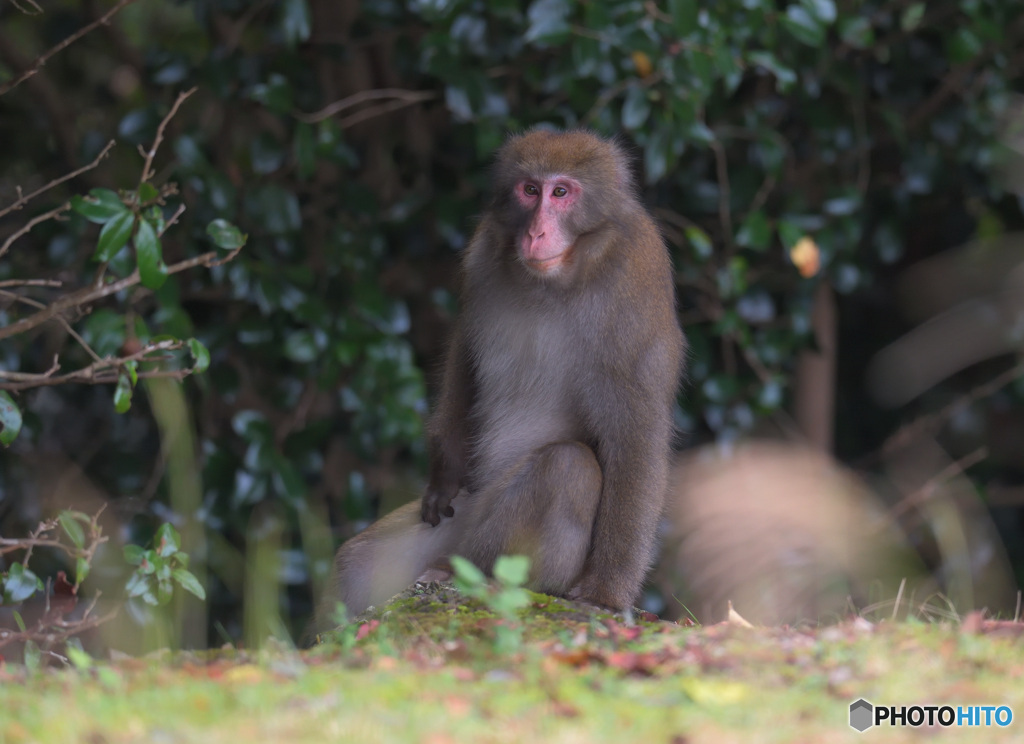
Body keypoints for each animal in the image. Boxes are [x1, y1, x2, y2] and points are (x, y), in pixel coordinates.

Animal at [309, 130, 679, 630]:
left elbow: (635, 440)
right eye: (530, 190)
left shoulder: (633, 288)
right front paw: (443, 476)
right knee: (357, 560)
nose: (536, 232)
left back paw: (473, 574)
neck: (559, 277)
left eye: (561, 193)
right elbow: (466, 354)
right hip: (461, 515)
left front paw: (605, 594)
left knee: (568, 468)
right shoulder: (482, 256)